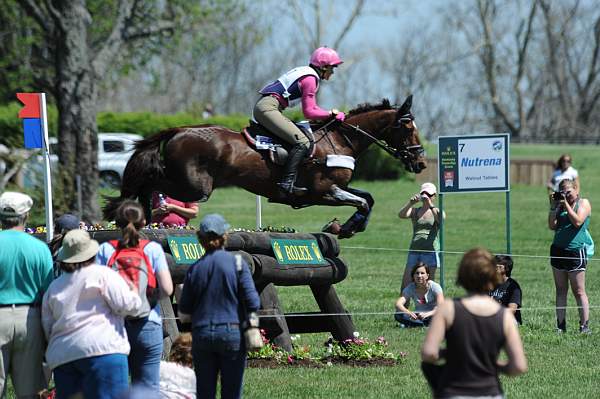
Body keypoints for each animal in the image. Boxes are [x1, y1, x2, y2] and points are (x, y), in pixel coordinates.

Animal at [105, 95, 428, 239]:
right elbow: (362, 202)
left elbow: (368, 199)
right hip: (194, 186)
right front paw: (345, 227)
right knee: (148, 181)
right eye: (407, 127)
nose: (421, 162)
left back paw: (144, 220)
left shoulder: (337, 187)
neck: (339, 140)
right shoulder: (324, 191)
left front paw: (346, 227)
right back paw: (143, 217)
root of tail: (180, 130)